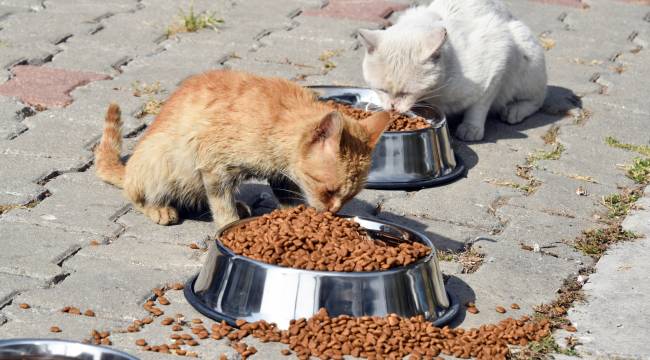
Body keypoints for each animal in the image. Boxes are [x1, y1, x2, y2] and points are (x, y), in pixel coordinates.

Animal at [95, 70, 390, 228]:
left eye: (350, 196)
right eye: (328, 191)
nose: (333, 212)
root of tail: (129, 170)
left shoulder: (281, 174)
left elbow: (289, 197)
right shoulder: (214, 168)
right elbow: (221, 205)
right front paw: (229, 225)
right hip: (160, 163)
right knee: (136, 195)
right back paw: (158, 208)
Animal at [356, 0, 544, 141]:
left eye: (406, 93)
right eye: (381, 90)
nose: (392, 107)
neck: (436, 93)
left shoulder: (498, 57)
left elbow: (480, 105)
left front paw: (471, 127)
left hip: (525, 53)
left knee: (538, 99)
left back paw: (515, 110)